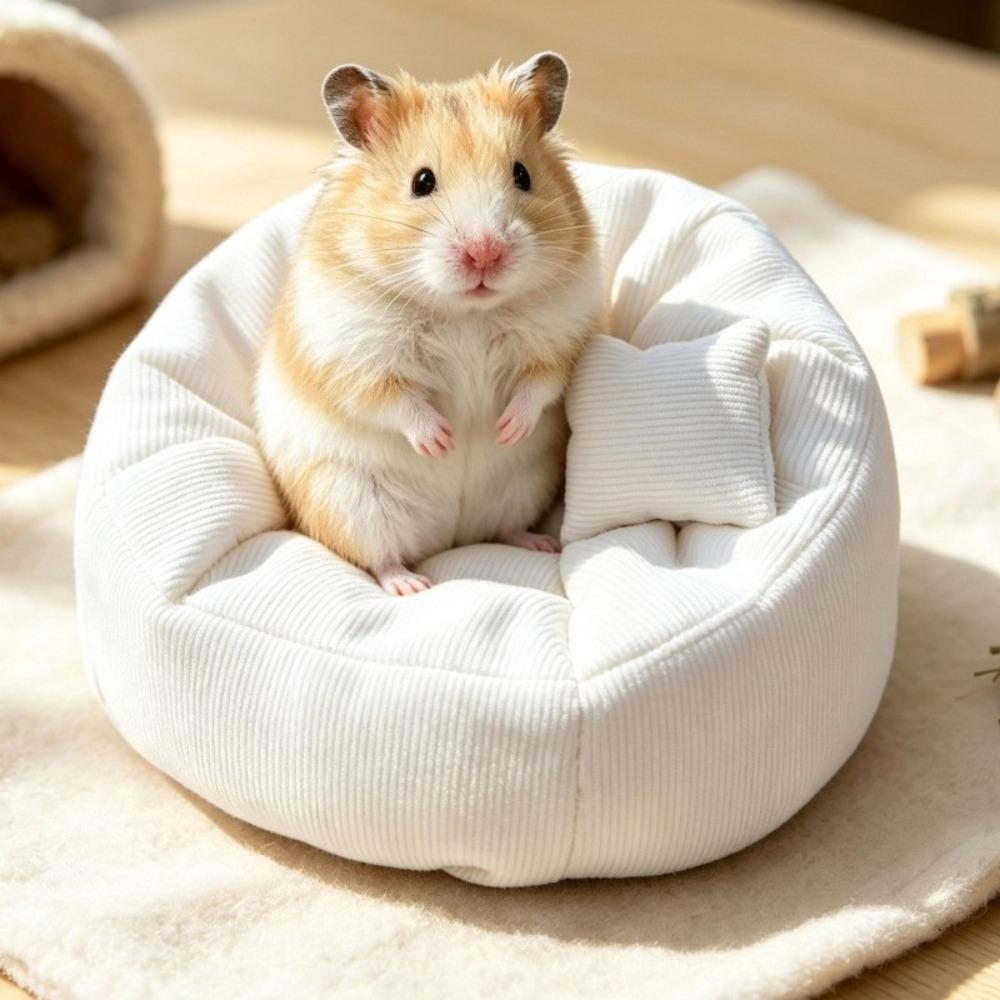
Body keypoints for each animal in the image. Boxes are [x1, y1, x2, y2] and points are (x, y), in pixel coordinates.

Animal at [254, 52, 602, 595]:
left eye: (523, 175)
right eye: (422, 181)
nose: (486, 253)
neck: (465, 314)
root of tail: (452, 536)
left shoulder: (558, 340)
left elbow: (539, 386)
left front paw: (506, 429)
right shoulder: (355, 356)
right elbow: (395, 401)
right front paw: (442, 442)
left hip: (523, 486)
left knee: (504, 526)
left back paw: (540, 543)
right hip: (353, 503)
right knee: (380, 557)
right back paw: (410, 585)